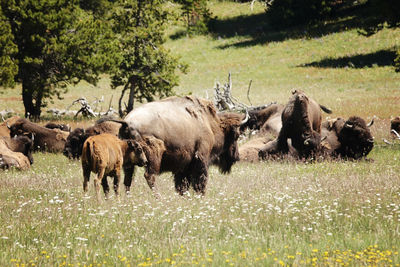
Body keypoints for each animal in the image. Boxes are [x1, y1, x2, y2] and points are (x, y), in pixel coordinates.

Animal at [114, 96, 245, 197]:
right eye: (236, 135)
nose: (237, 157)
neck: (210, 125)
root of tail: (127, 122)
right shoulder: (201, 159)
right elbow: (200, 180)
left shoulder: (183, 165)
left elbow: (182, 183)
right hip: (152, 155)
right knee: (149, 176)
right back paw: (159, 198)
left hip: (129, 160)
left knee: (127, 179)